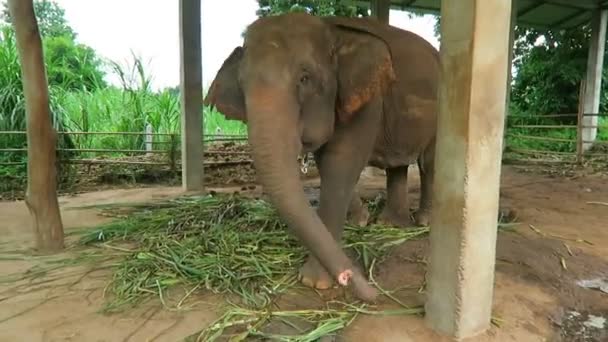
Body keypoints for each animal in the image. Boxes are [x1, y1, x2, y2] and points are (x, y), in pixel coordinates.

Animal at [203, 12, 436, 302]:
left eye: (305, 79)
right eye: (241, 85)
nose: (354, 279)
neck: (330, 28)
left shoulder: (368, 98)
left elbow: (341, 161)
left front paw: (316, 282)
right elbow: (327, 164)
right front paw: (359, 221)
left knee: (429, 163)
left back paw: (424, 221)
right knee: (398, 165)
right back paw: (392, 224)